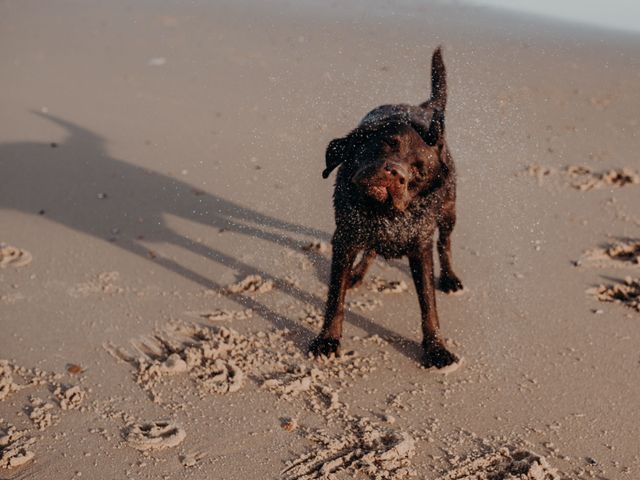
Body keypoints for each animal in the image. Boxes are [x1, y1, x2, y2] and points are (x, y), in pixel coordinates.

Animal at [308, 47, 462, 368]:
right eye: (388, 143)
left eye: (418, 170)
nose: (395, 173)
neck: (384, 213)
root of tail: (424, 107)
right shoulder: (345, 239)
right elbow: (335, 298)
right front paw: (328, 339)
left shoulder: (420, 248)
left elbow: (429, 306)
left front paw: (436, 349)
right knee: (372, 247)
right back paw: (357, 273)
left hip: (449, 210)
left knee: (446, 241)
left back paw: (450, 277)